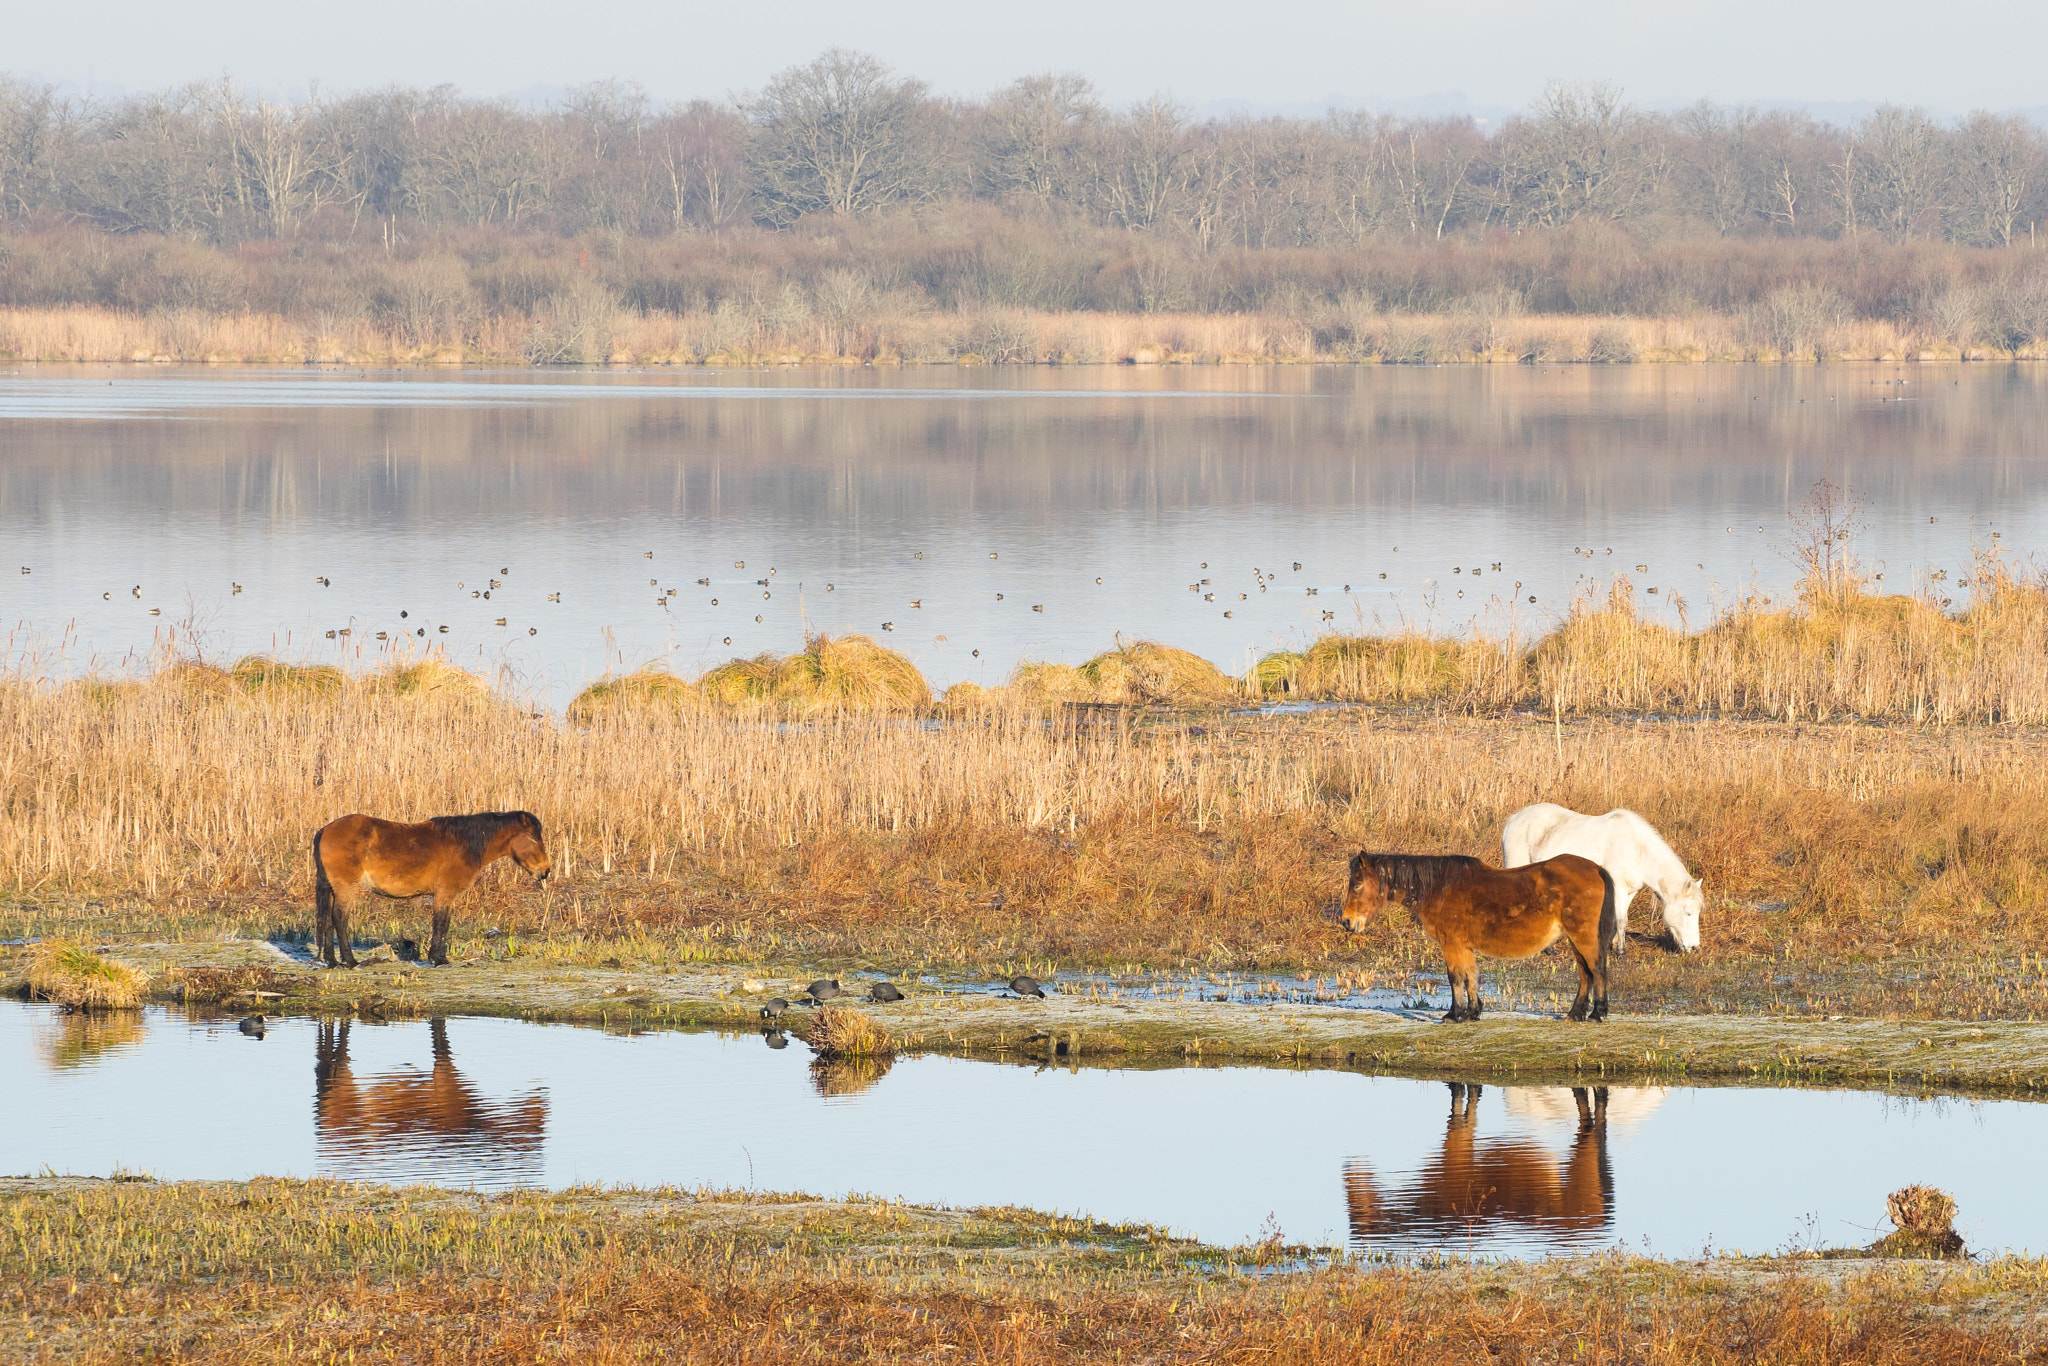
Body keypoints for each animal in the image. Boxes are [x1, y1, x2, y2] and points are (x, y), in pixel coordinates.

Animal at [313, 811, 550, 968]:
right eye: (533, 837)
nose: (546, 870)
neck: (464, 845)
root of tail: (325, 830)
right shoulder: (445, 894)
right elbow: (442, 924)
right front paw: (439, 958)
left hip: (332, 888)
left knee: (327, 920)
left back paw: (332, 961)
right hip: (345, 888)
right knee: (339, 918)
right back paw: (351, 961)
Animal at [1339, 851, 1613, 1022]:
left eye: (1357, 884)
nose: (1347, 922)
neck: (1439, 888)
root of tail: (1596, 868)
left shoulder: (1451, 944)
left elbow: (1455, 977)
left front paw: (1454, 1014)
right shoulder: (1464, 946)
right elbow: (1470, 976)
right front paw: (1473, 1012)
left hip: (1582, 935)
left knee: (1597, 969)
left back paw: (1597, 1014)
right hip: (1574, 938)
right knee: (1585, 973)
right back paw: (1575, 1013)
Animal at [1501, 804, 1703, 954]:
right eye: (1688, 913)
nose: (1694, 946)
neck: (1635, 848)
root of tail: (1515, 819)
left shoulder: (1629, 891)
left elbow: (1618, 920)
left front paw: (1612, 946)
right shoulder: (1618, 888)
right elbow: (1621, 919)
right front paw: (1621, 951)